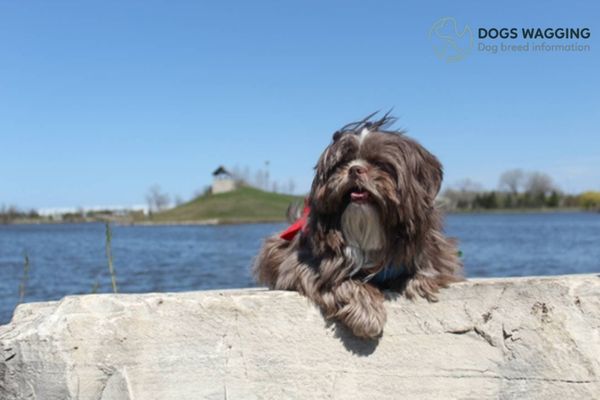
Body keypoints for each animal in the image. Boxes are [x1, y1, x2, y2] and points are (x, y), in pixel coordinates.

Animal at [251, 112, 462, 338]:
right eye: (342, 162)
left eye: (380, 163)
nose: (354, 169)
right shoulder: (301, 265)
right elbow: (340, 280)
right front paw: (368, 314)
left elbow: (431, 264)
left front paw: (421, 281)